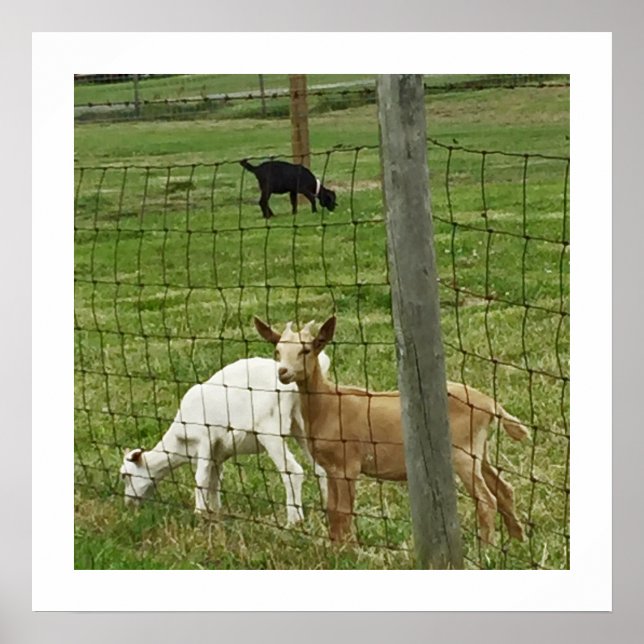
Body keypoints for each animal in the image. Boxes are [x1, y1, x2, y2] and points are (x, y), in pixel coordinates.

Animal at [119, 355, 330, 526]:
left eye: (125, 475)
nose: (128, 504)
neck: (179, 444)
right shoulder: (218, 454)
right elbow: (215, 481)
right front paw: (216, 512)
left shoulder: (204, 439)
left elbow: (201, 479)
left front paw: (199, 514)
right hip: (301, 424)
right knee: (321, 469)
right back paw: (328, 510)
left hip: (270, 428)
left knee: (293, 471)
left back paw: (294, 521)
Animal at [254, 315, 530, 544]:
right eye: (277, 351)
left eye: (306, 349)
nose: (283, 372)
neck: (329, 405)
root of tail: (490, 404)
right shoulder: (331, 467)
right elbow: (332, 511)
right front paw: (334, 549)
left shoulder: (348, 464)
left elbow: (343, 511)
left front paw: (347, 552)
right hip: (480, 450)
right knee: (504, 489)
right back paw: (518, 540)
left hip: (463, 452)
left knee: (486, 499)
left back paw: (487, 548)